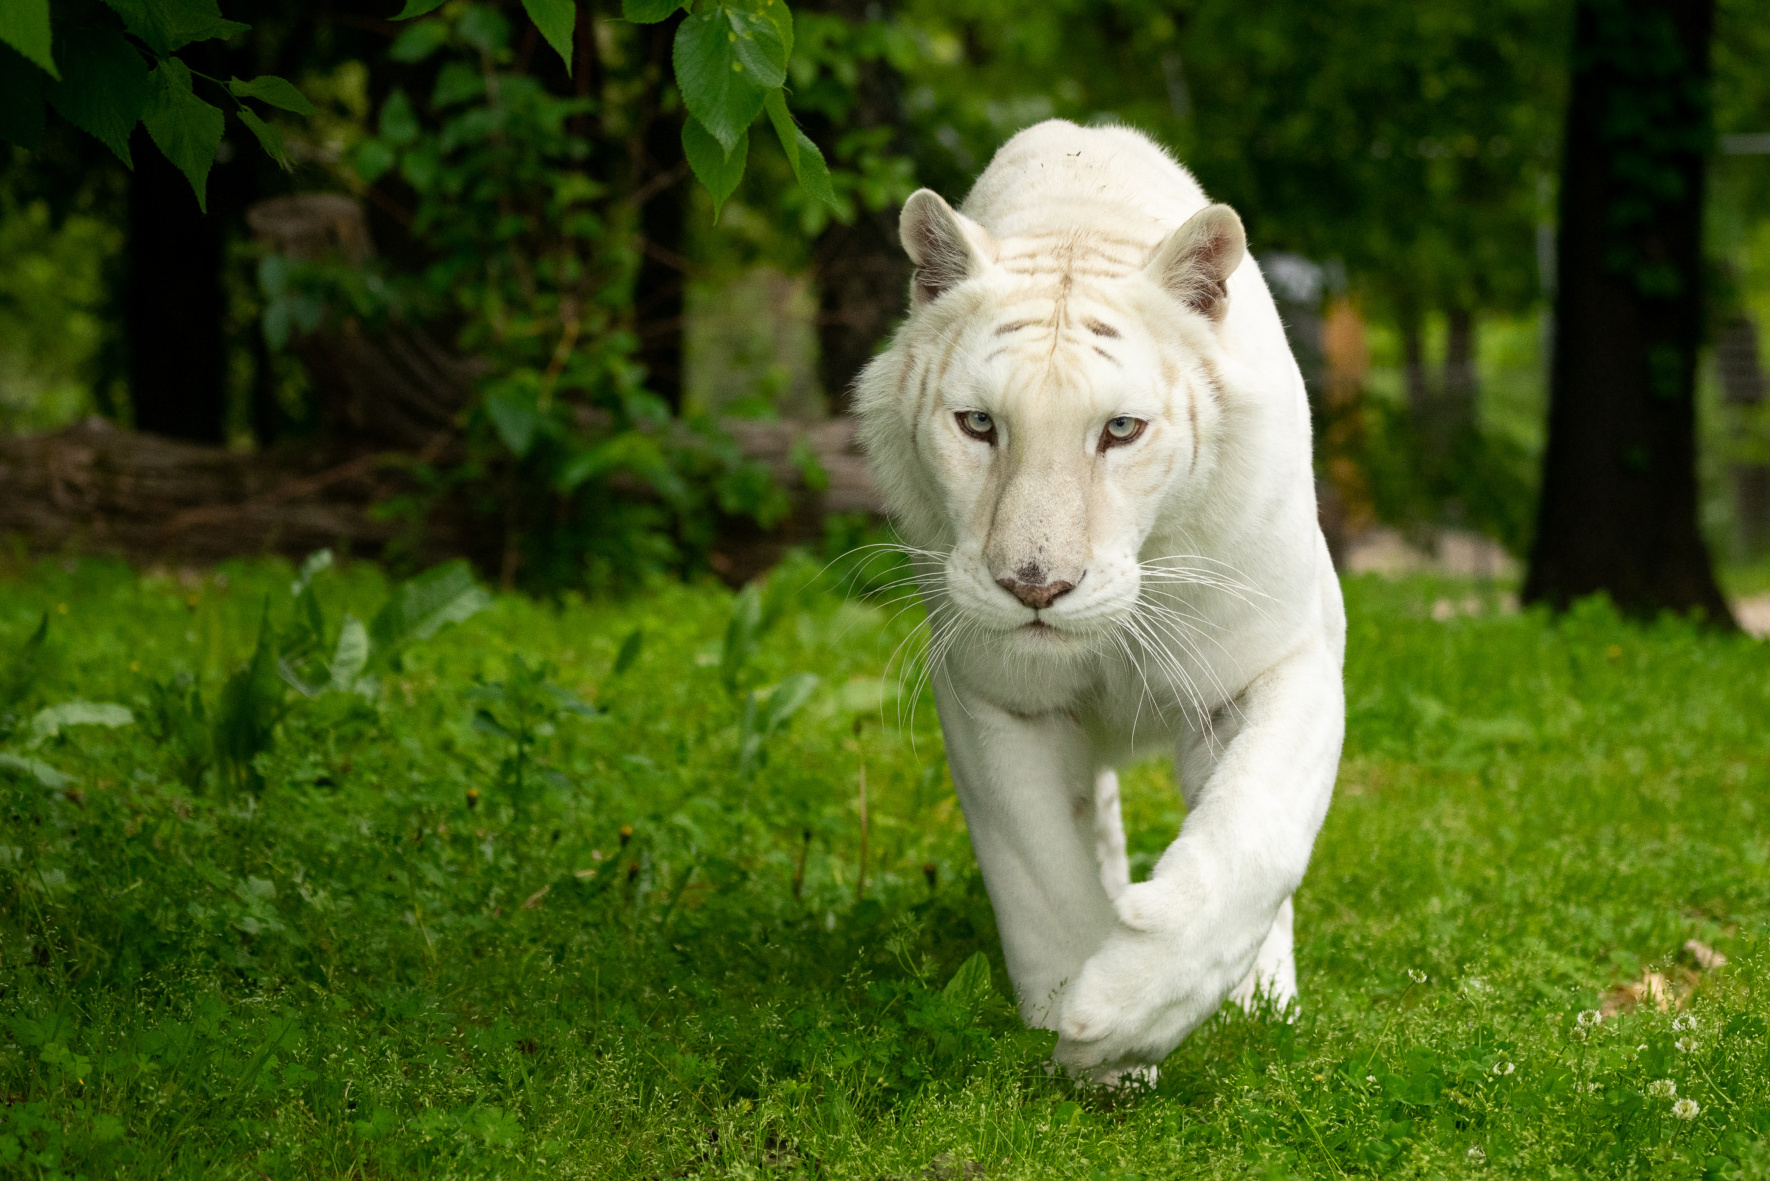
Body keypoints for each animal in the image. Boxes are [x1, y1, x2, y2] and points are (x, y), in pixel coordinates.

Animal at [853, 120, 1338, 1083]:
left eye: (1119, 429)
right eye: (978, 424)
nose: (1034, 583)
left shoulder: (1284, 655)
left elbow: (1255, 833)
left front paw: (1133, 1008)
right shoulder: (991, 691)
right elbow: (1040, 872)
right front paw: (1087, 1036)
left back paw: (1265, 1003)